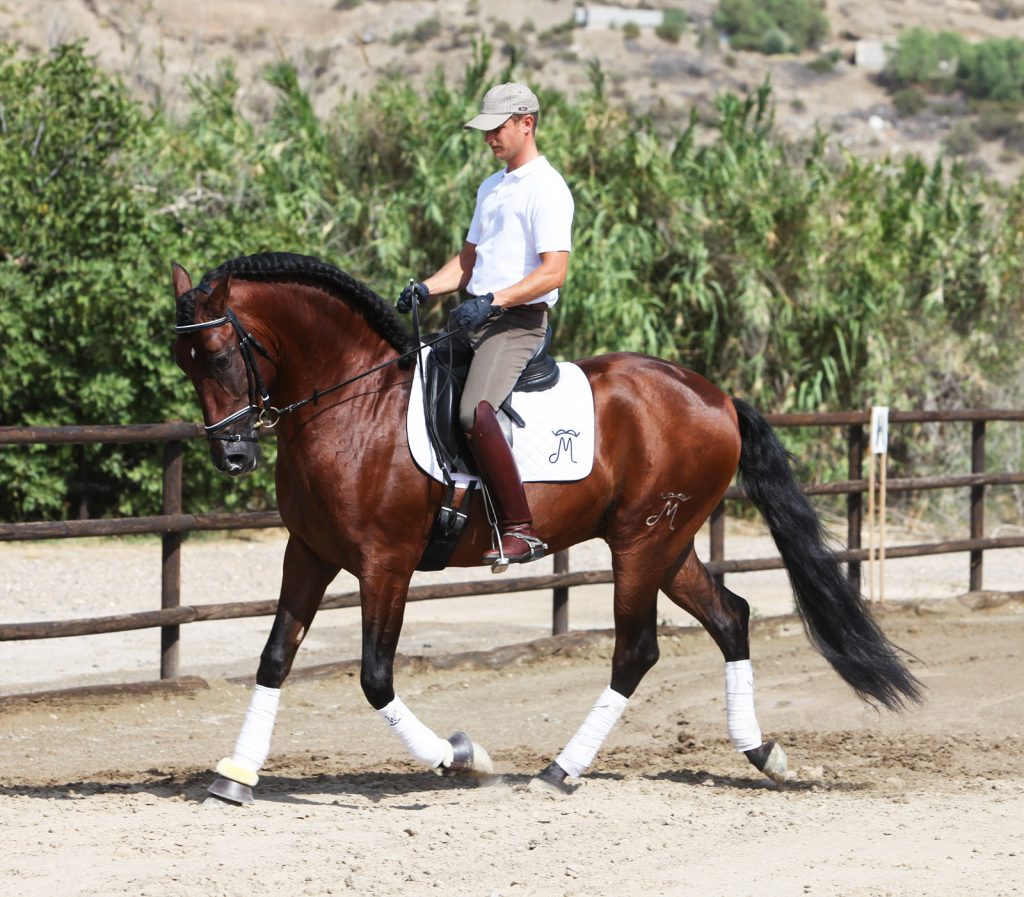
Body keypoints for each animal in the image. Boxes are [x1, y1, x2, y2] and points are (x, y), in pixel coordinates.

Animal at [172, 251, 921, 804]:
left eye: (221, 356)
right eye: (187, 363)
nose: (232, 456)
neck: (353, 408)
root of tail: (715, 397)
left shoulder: (387, 563)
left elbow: (376, 677)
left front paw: (462, 756)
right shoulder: (309, 552)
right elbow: (274, 656)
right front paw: (235, 776)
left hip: (641, 546)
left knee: (635, 651)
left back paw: (561, 769)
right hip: (667, 543)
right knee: (730, 616)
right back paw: (763, 753)